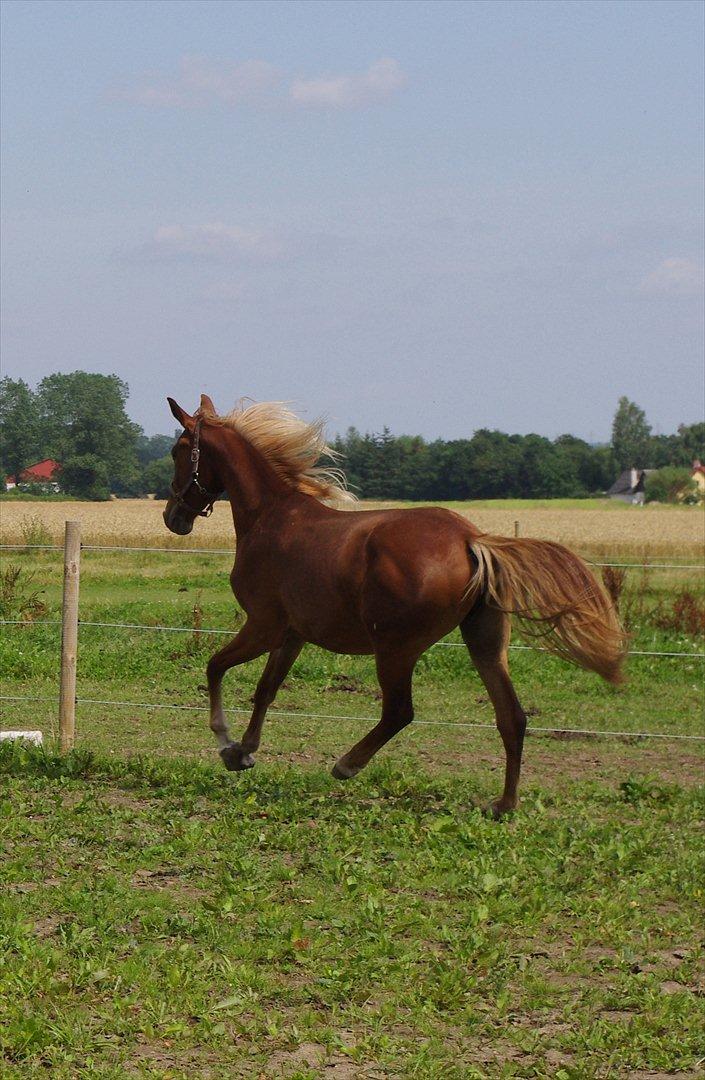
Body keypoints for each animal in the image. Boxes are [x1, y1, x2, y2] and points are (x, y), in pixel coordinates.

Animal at [161, 393, 626, 812]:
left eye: (178, 451)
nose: (172, 517)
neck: (271, 517)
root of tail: (472, 539)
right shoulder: (292, 635)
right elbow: (266, 690)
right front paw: (244, 752)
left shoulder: (263, 626)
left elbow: (215, 667)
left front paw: (225, 741)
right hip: (485, 644)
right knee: (512, 717)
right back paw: (504, 804)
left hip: (395, 648)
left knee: (399, 711)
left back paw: (347, 764)